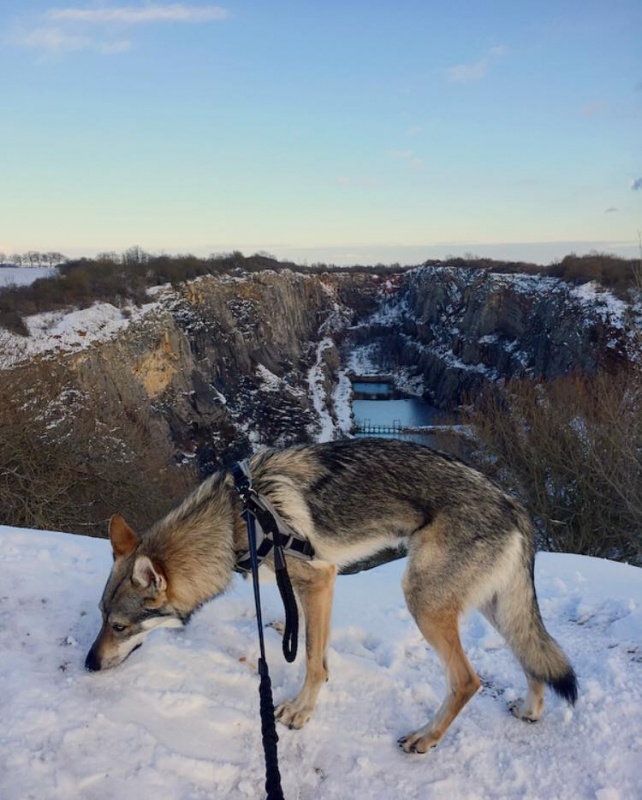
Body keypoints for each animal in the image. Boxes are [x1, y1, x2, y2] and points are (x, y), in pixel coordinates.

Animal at [85, 438, 576, 752]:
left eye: (120, 626)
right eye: (100, 616)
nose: (88, 664)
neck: (233, 520)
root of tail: (516, 507)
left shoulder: (317, 579)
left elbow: (311, 659)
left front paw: (301, 712)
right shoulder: (318, 582)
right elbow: (314, 650)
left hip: (424, 602)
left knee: (467, 681)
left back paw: (426, 738)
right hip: (494, 606)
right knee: (531, 656)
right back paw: (529, 710)